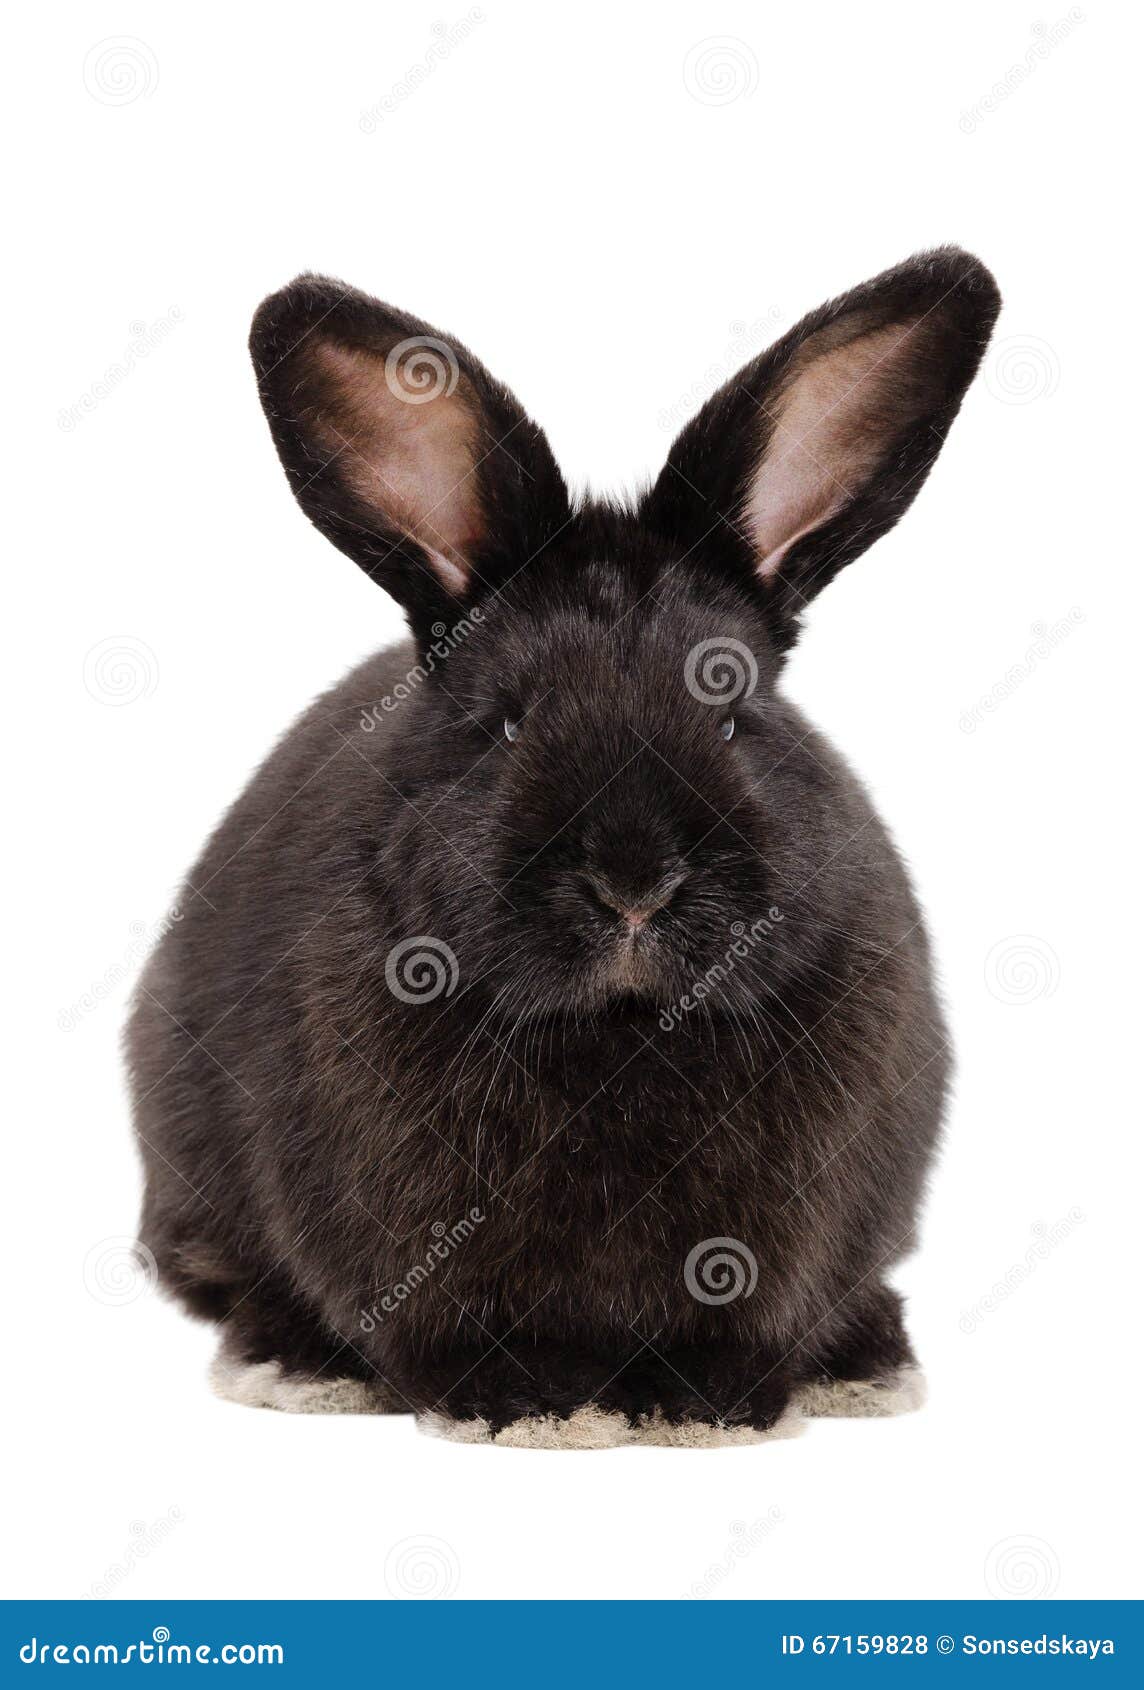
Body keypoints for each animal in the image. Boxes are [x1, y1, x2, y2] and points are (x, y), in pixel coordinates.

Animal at [127, 247, 999, 1447]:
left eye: (735, 709)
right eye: (504, 722)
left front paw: (703, 1405)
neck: (618, 1032)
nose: (634, 884)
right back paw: (294, 1363)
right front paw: (519, 1403)